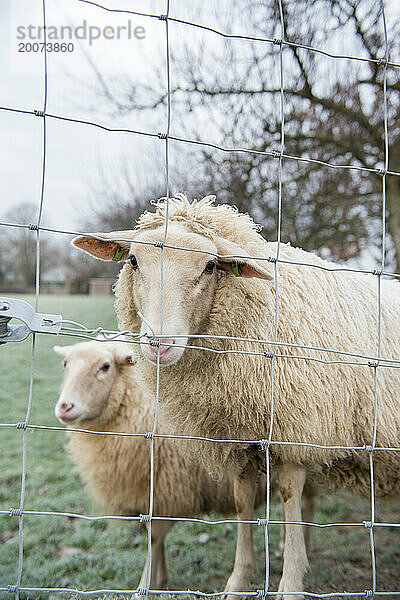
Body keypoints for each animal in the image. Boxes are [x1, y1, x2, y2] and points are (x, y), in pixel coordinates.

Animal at [70, 195, 398, 596]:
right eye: (133, 260)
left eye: (210, 266)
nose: (160, 344)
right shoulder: (237, 442)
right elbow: (244, 506)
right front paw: (239, 580)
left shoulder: (296, 435)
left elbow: (290, 502)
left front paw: (291, 584)